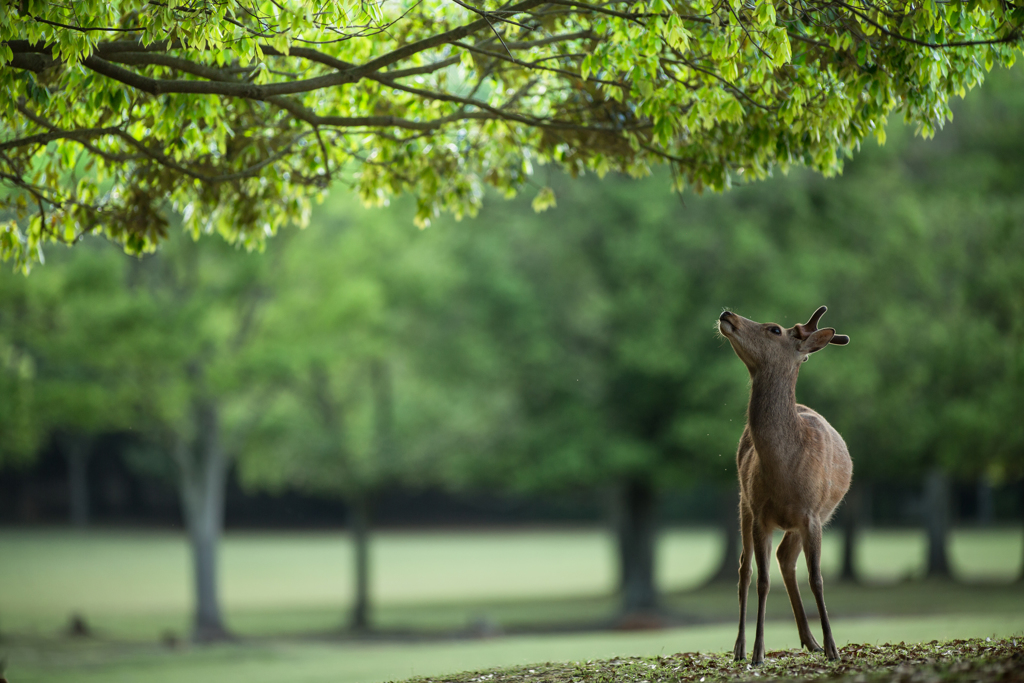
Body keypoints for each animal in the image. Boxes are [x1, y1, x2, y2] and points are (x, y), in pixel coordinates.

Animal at [716, 307, 851, 663]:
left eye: (774, 329)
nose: (727, 313)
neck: (784, 469)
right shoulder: (760, 513)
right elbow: (762, 580)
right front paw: (758, 652)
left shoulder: (812, 514)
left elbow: (817, 578)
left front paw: (833, 648)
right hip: (743, 503)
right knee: (745, 569)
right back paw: (739, 647)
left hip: (810, 518)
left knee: (785, 558)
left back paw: (811, 641)